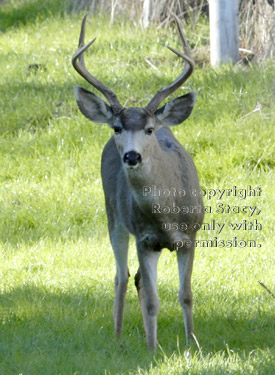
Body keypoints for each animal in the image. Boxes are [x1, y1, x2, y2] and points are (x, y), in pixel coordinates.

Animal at [72, 15, 204, 352]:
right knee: (122, 276)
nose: (131, 156)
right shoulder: (144, 239)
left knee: (138, 280)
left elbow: (186, 294)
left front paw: (192, 344)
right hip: (114, 217)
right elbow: (153, 302)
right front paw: (152, 350)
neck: (166, 215)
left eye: (148, 129)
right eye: (117, 127)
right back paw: (118, 337)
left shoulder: (191, 236)